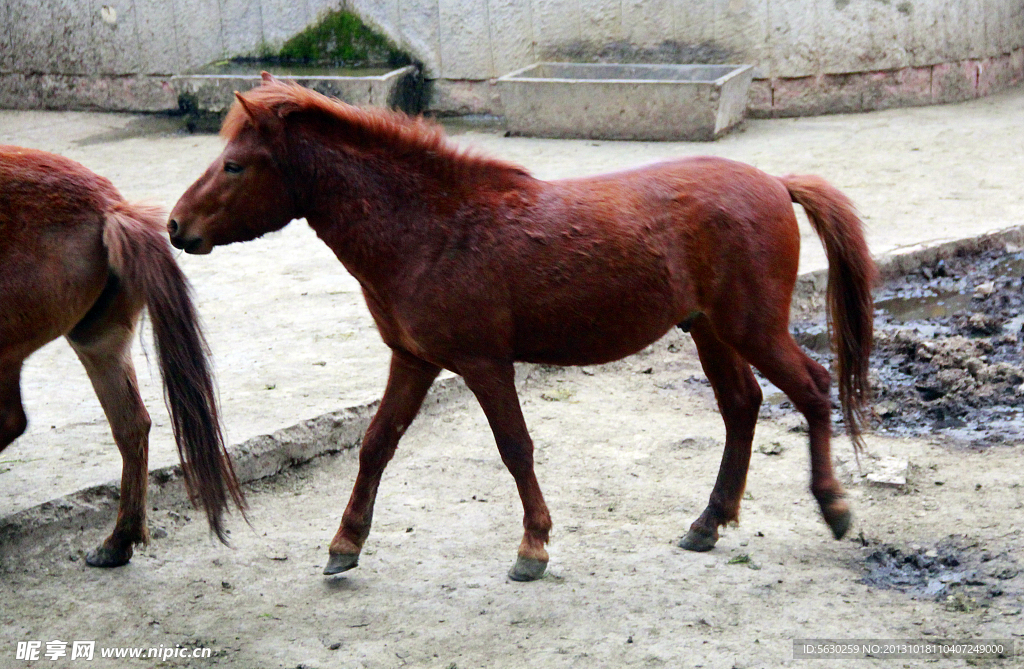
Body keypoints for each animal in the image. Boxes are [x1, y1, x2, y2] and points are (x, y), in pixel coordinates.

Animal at [167, 74, 872, 577]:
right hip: (710, 331)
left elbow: (515, 448)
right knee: (742, 407)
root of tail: (776, 183)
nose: (176, 227)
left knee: (813, 390)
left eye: (234, 165)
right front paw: (346, 543)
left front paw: (533, 547)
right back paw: (708, 522)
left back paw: (834, 507)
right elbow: (376, 445)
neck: (430, 228)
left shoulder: (483, 365)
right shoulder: (412, 360)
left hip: (752, 329)